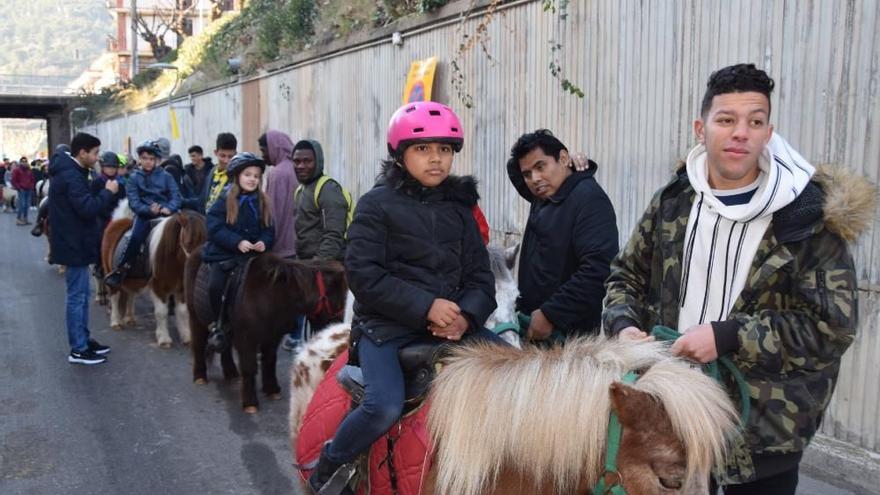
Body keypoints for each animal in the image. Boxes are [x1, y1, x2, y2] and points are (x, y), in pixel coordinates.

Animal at [186, 248, 348, 414]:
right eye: (338, 299)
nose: (338, 327)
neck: (270, 296)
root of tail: (195, 252)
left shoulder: (272, 336)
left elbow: (269, 361)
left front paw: (272, 389)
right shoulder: (247, 339)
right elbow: (249, 367)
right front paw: (250, 402)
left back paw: (231, 373)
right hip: (195, 317)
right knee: (198, 344)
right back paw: (200, 376)